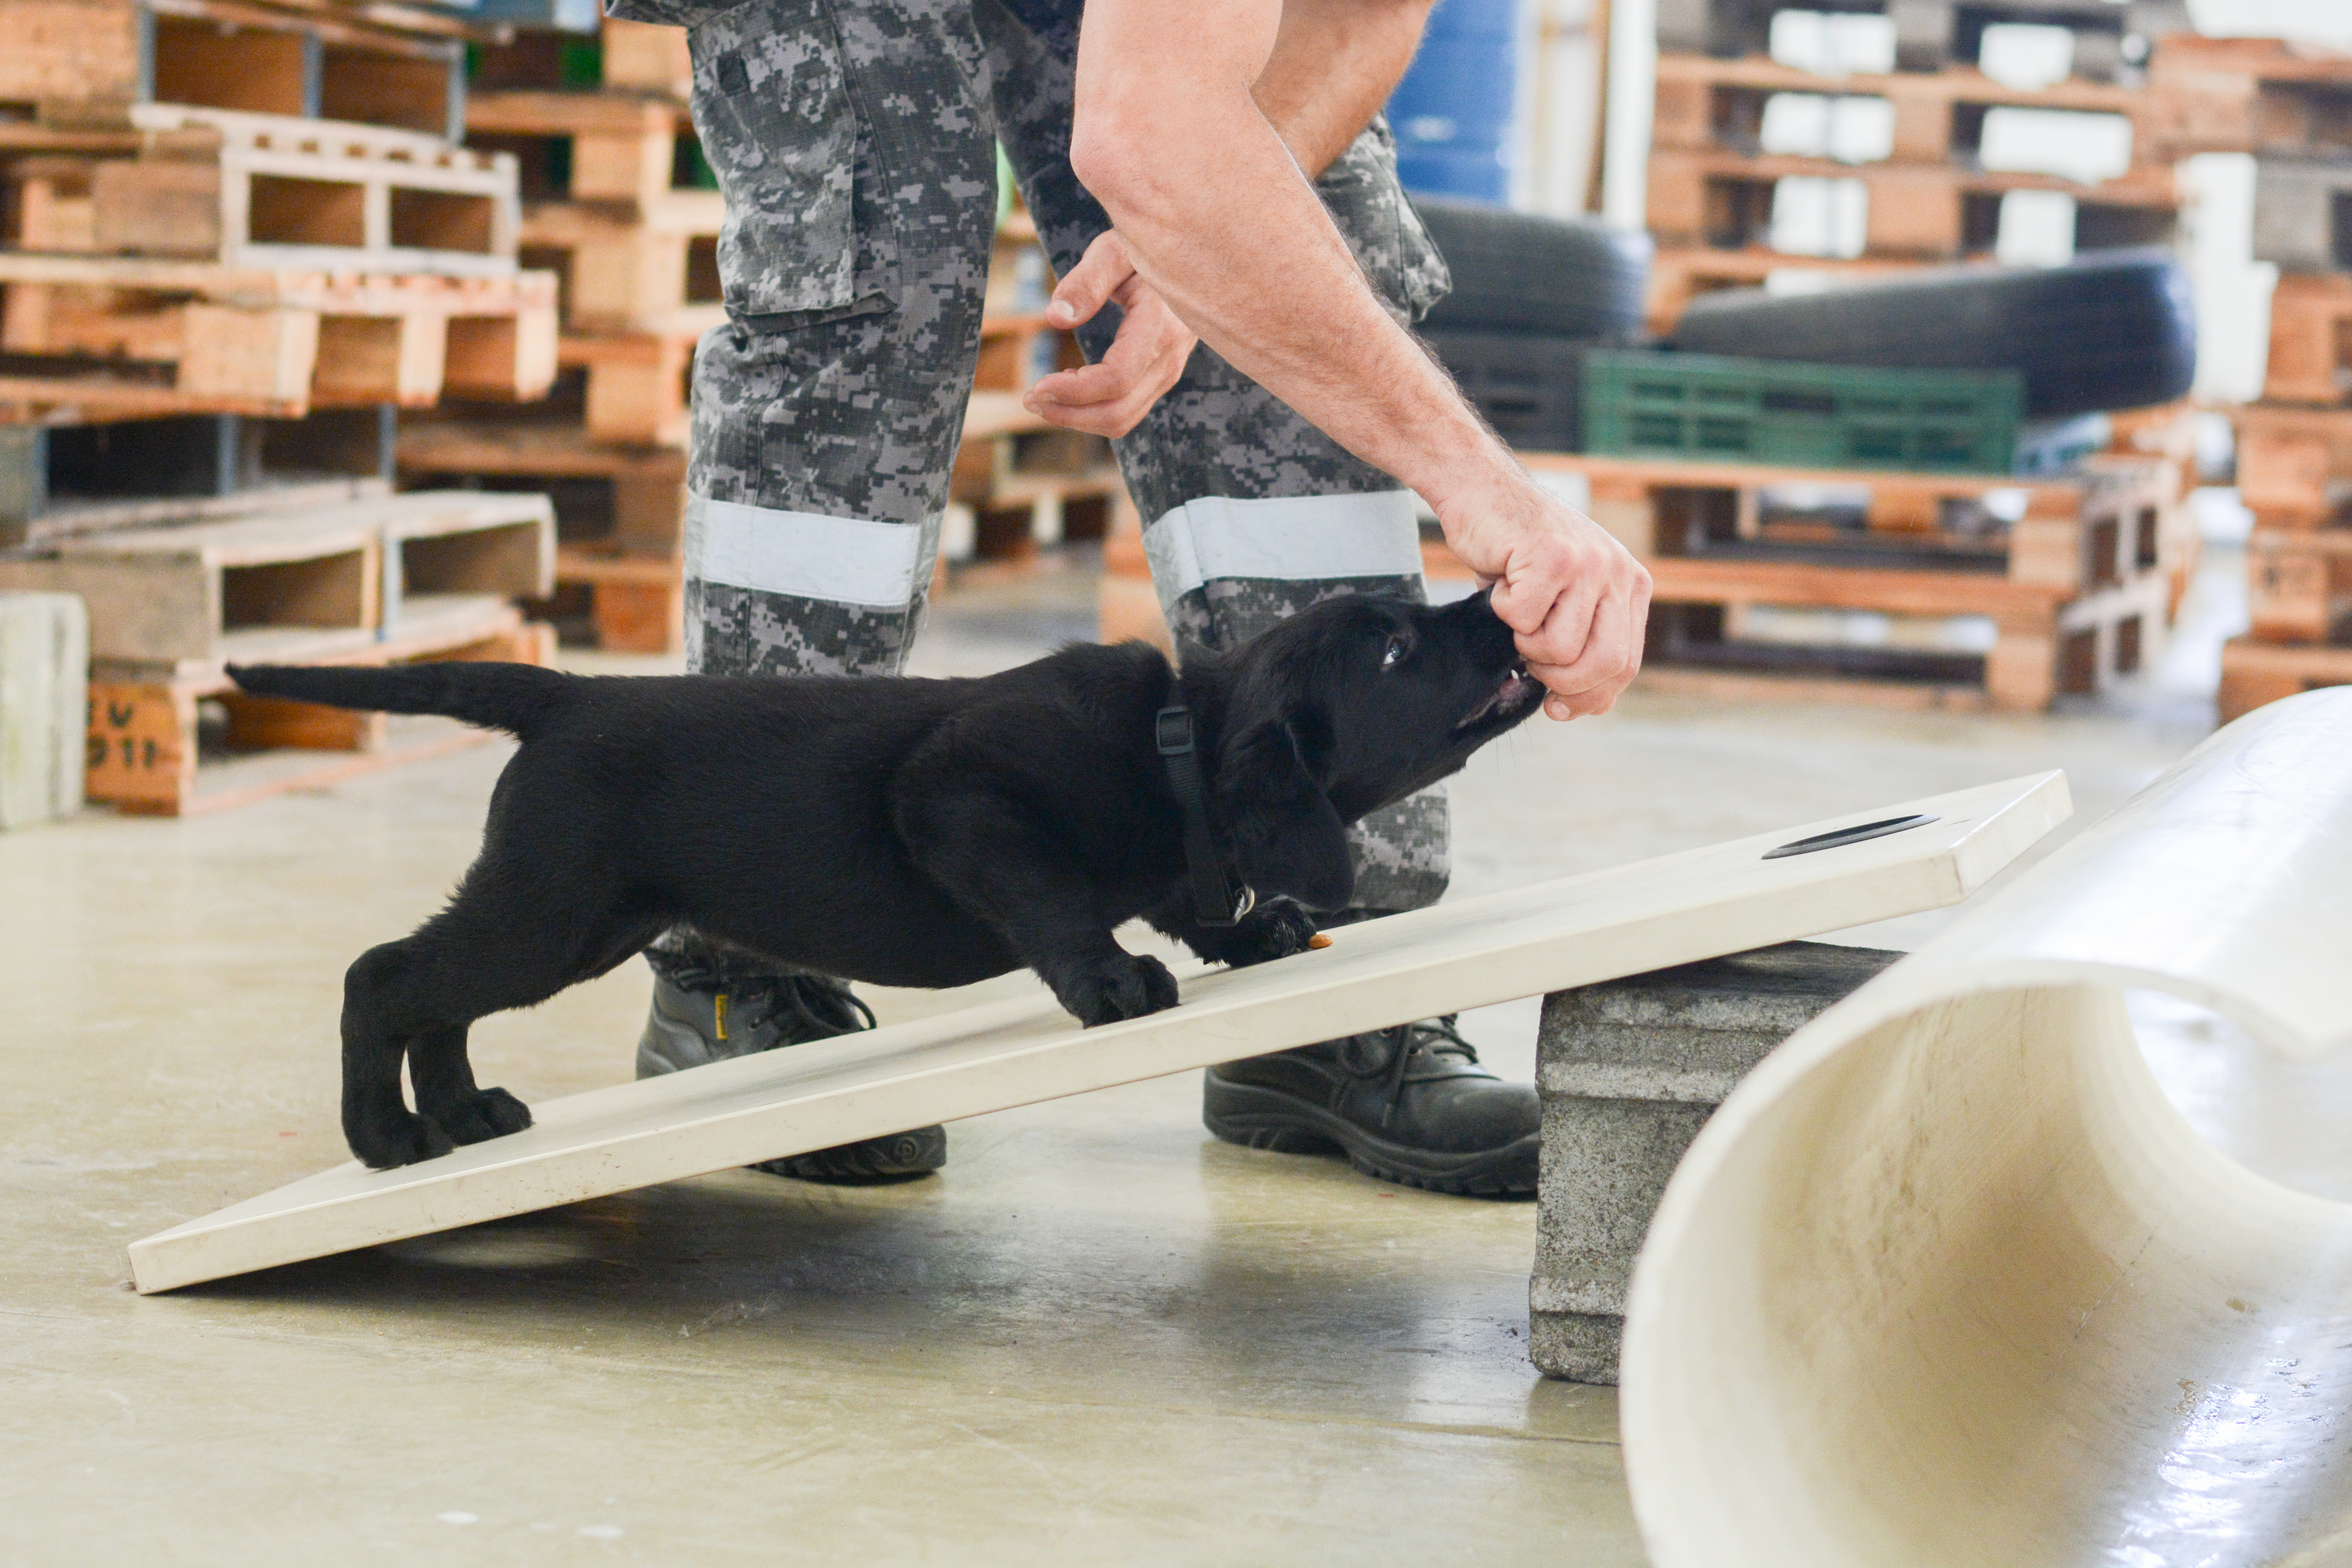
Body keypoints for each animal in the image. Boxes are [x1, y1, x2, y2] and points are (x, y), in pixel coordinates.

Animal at [234, 588, 1543, 1166]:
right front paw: (1112, 982)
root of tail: (565, 693)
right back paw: (387, 1136)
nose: (1498, 600)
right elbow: (1056, 898)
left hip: (572, 917)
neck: (1177, 733)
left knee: (438, 993)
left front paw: (1247, 930)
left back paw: (463, 1115)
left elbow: (1187, 893)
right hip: (552, 908)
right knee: (386, 975)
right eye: (1396, 649)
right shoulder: (953, 793)